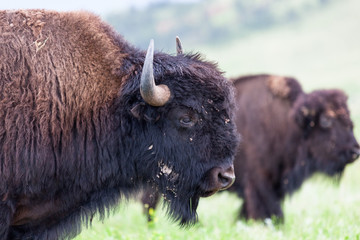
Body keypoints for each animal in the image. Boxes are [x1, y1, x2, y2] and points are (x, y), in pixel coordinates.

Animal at [141, 73, 360, 223]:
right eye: (326, 121)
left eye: (349, 119)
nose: (354, 151)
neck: (288, 122)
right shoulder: (260, 183)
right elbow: (267, 211)